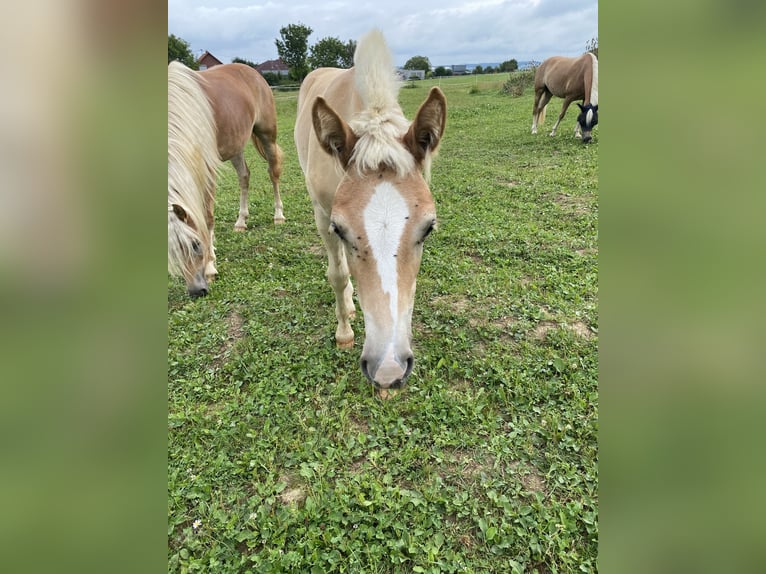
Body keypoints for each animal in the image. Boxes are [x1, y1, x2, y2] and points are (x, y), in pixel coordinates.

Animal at [200, 64, 286, 231]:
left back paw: (278, 215)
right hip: (236, 145)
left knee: (273, 172)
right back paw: (241, 221)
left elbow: (207, 214)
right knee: (244, 175)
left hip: (267, 136)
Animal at [296, 29, 450, 394]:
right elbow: (337, 274)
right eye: (340, 229)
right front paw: (343, 334)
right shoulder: (323, 217)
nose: (388, 368)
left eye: (428, 228)